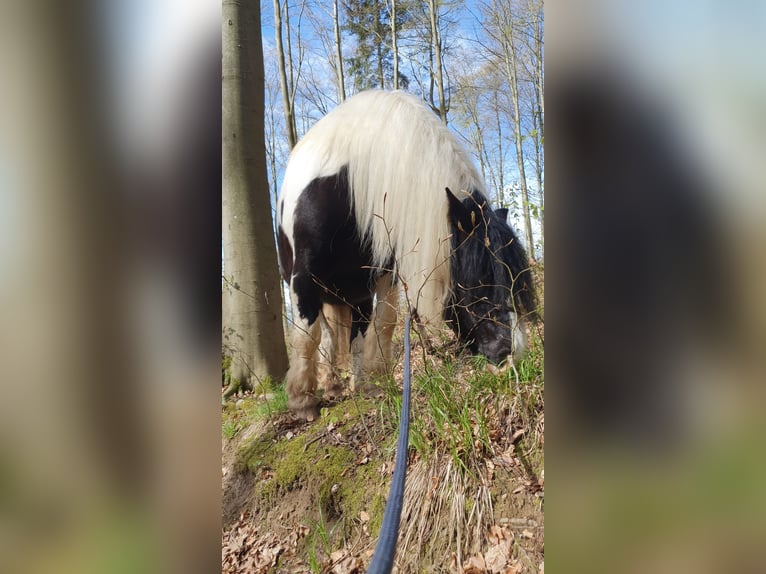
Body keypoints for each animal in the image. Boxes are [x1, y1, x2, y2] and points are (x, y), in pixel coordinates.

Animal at [278, 91, 540, 424]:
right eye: (481, 278)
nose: (512, 358)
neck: (348, 187)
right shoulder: (303, 279)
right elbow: (306, 337)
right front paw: (302, 401)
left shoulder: (383, 272)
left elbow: (384, 324)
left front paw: (373, 384)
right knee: (323, 336)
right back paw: (330, 387)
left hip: (354, 294)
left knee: (352, 334)